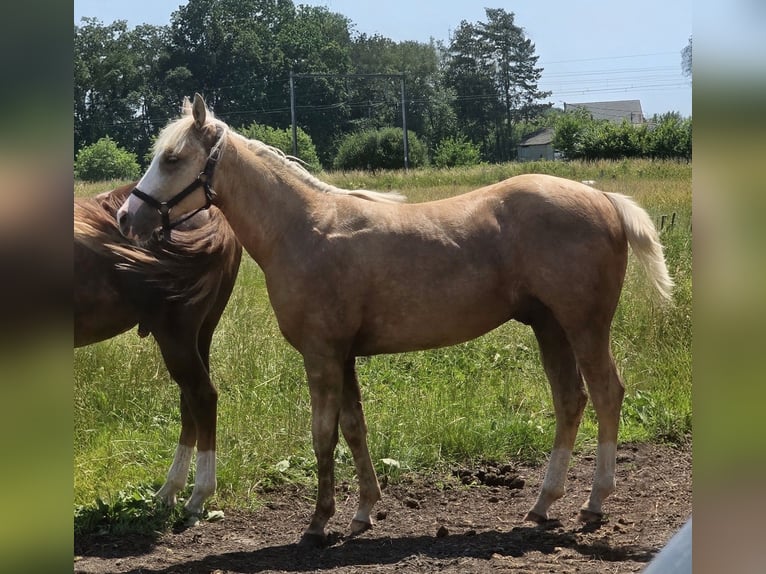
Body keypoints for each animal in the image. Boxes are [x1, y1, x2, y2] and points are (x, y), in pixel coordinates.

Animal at [75, 181, 242, 516]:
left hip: (176, 337)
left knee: (201, 397)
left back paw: (198, 494)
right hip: (201, 334)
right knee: (190, 403)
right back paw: (170, 491)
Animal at [116, 94, 673, 544]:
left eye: (171, 158)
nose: (126, 218)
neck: (303, 229)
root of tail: (601, 196)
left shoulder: (322, 355)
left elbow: (323, 434)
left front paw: (319, 522)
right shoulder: (343, 357)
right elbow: (354, 429)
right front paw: (363, 512)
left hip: (584, 327)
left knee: (606, 393)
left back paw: (594, 502)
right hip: (549, 327)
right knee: (570, 400)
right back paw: (542, 503)